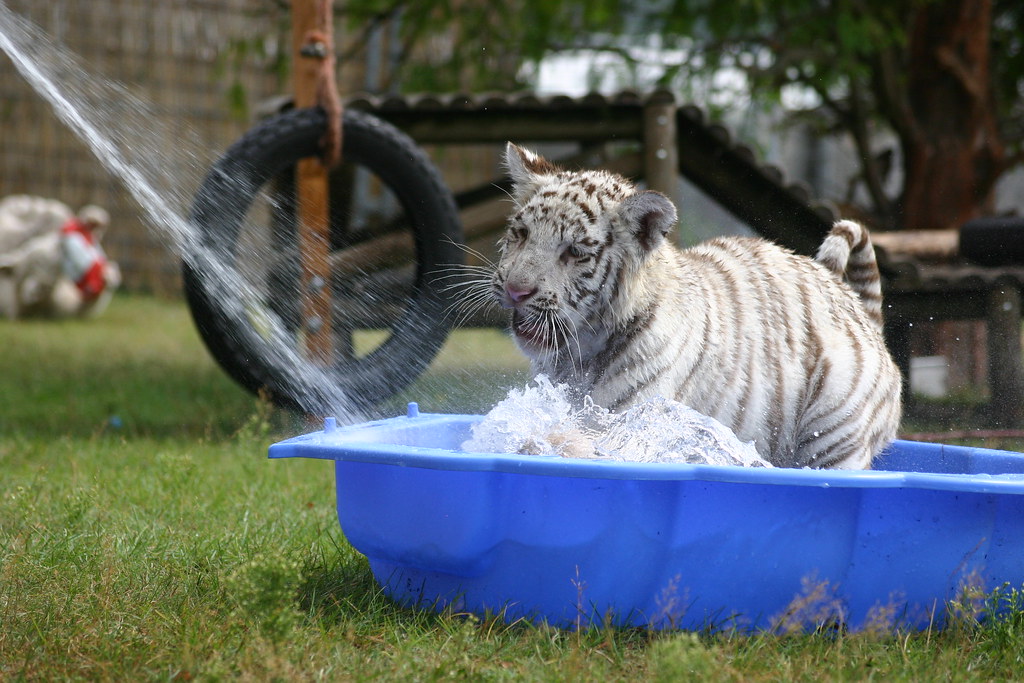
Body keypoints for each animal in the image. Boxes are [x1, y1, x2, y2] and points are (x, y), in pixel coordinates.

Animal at [473, 142, 902, 469]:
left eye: (575, 252)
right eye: (521, 233)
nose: (515, 291)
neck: (579, 354)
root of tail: (859, 310)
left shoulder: (635, 426)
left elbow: (577, 441)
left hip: (834, 431)